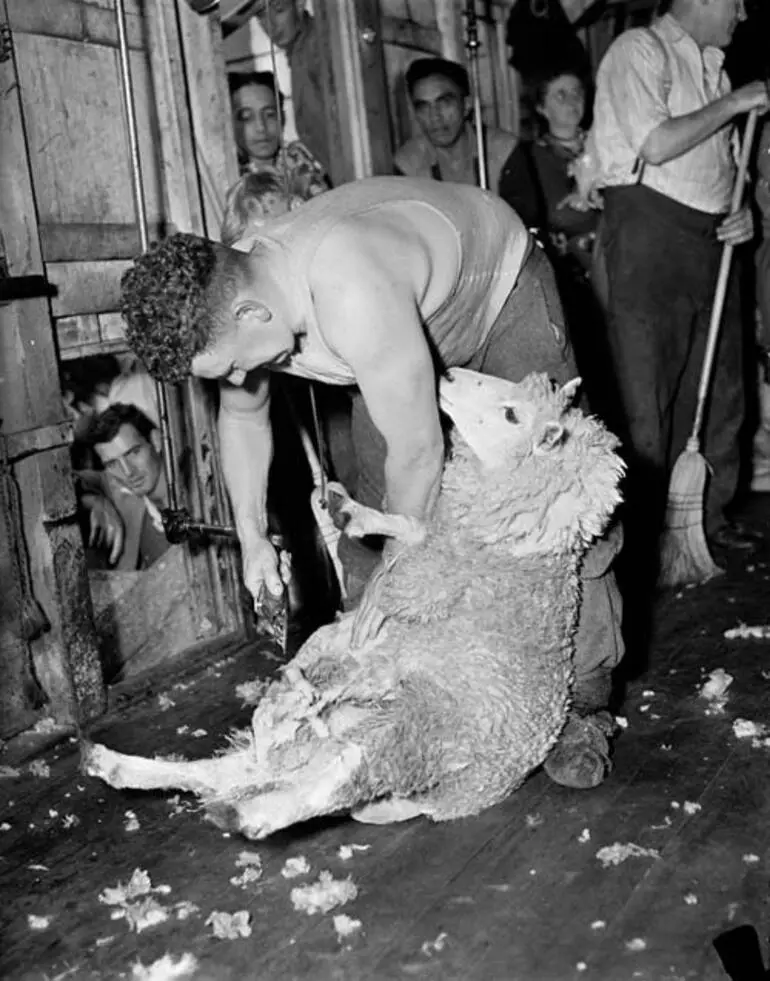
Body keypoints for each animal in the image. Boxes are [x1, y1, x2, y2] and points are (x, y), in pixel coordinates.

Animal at [85, 368, 624, 836]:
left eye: (512, 414)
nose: (448, 374)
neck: (516, 550)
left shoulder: (428, 588)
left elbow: (404, 571)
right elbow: (408, 529)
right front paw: (352, 513)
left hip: (417, 727)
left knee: (337, 777)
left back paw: (251, 811)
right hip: (340, 735)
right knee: (237, 770)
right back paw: (120, 764)